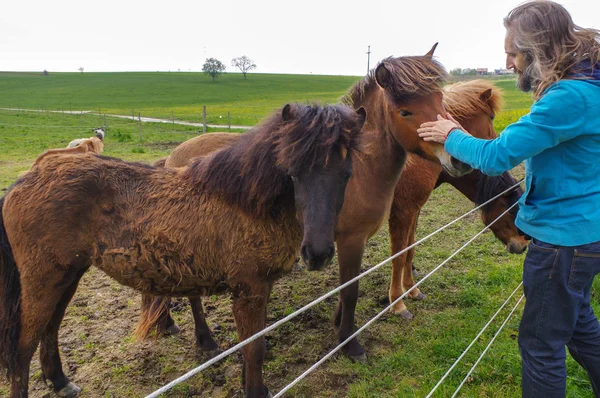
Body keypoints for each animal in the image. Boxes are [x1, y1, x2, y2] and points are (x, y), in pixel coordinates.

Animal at [0, 103, 368, 398]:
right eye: (293, 171)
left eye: (347, 174)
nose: (317, 253)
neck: (246, 202)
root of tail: (25, 180)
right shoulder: (249, 290)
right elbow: (254, 349)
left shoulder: (259, 289)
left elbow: (253, 346)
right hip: (44, 280)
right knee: (22, 349)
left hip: (68, 275)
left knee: (50, 329)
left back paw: (60, 381)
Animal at [386, 80, 528, 318]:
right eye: (511, 209)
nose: (523, 245)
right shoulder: (403, 211)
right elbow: (398, 255)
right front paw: (398, 303)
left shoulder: (414, 210)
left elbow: (410, 249)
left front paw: (412, 290)